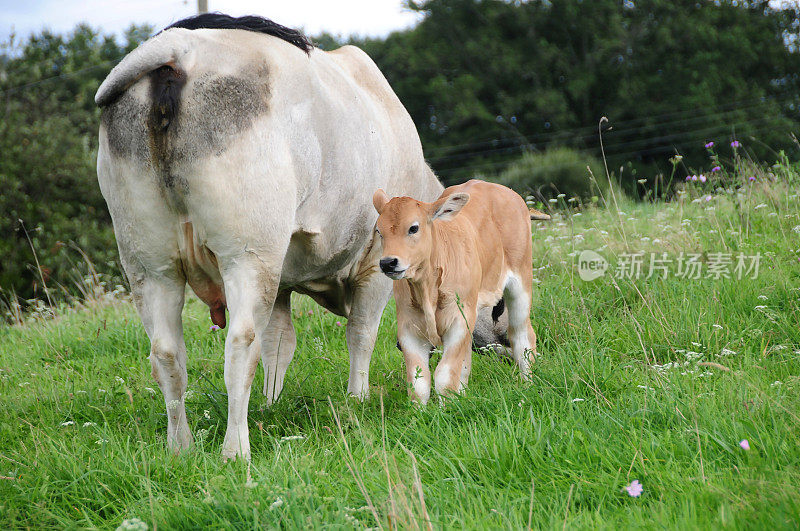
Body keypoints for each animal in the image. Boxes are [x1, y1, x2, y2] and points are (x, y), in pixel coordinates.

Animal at [95, 14, 506, 460]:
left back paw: (180, 448)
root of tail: (180, 46)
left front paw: (271, 404)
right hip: (247, 255)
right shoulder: (376, 266)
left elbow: (280, 343)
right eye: (499, 303)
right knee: (240, 346)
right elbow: (362, 333)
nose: (504, 343)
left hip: (149, 265)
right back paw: (235, 449)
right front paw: (357, 400)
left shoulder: (280, 284)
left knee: (168, 355)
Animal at [374, 179, 536, 404]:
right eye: (379, 232)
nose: (388, 262)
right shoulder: (408, 327)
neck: (427, 289)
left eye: (413, 228)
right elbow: (418, 383)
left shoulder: (458, 320)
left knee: (522, 336)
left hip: (520, 283)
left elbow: (444, 376)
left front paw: (448, 407)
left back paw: (527, 385)